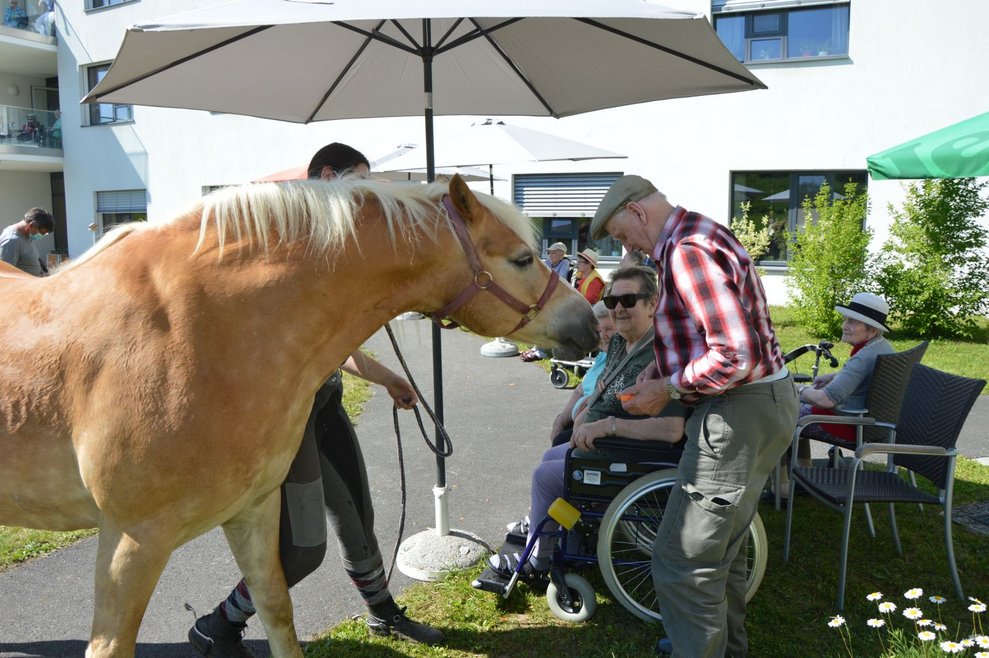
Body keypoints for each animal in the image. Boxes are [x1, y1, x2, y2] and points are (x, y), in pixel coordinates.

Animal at [0, 174, 598, 658]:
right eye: (521, 258)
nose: (591, 322)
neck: (204, 331)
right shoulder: (132, 540)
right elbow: (108, 645)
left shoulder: (254, 511)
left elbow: (277, 612)